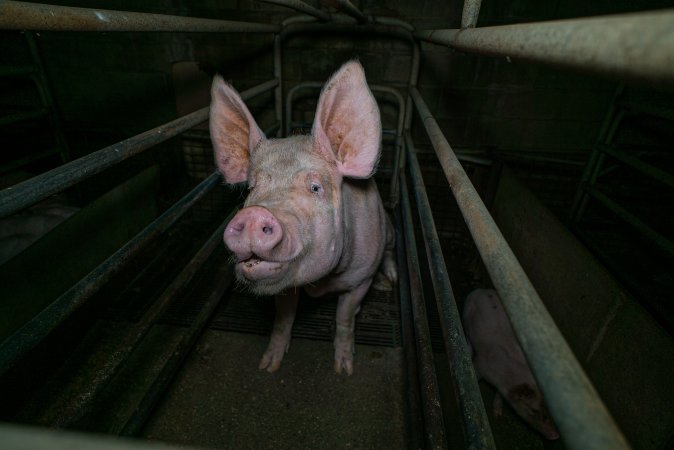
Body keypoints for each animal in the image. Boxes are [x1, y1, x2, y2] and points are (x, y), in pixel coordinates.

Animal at [209, 60, 394, 376]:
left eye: (315, 187)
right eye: (251, 187)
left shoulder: (361, 279)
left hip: (389, 233)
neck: (320, 284)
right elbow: (284, 318)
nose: (255, 213)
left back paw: (388, 282)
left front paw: (344, 369)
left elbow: (345, 317)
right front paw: (268, 366)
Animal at [462, 288, 556, 440]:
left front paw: (498, 416)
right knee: (467, 336)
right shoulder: (480, 365)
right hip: (466, 311)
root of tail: (482, 289)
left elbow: (499, 396)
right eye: (533, 409)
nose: (556, 436)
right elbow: (475, 375)